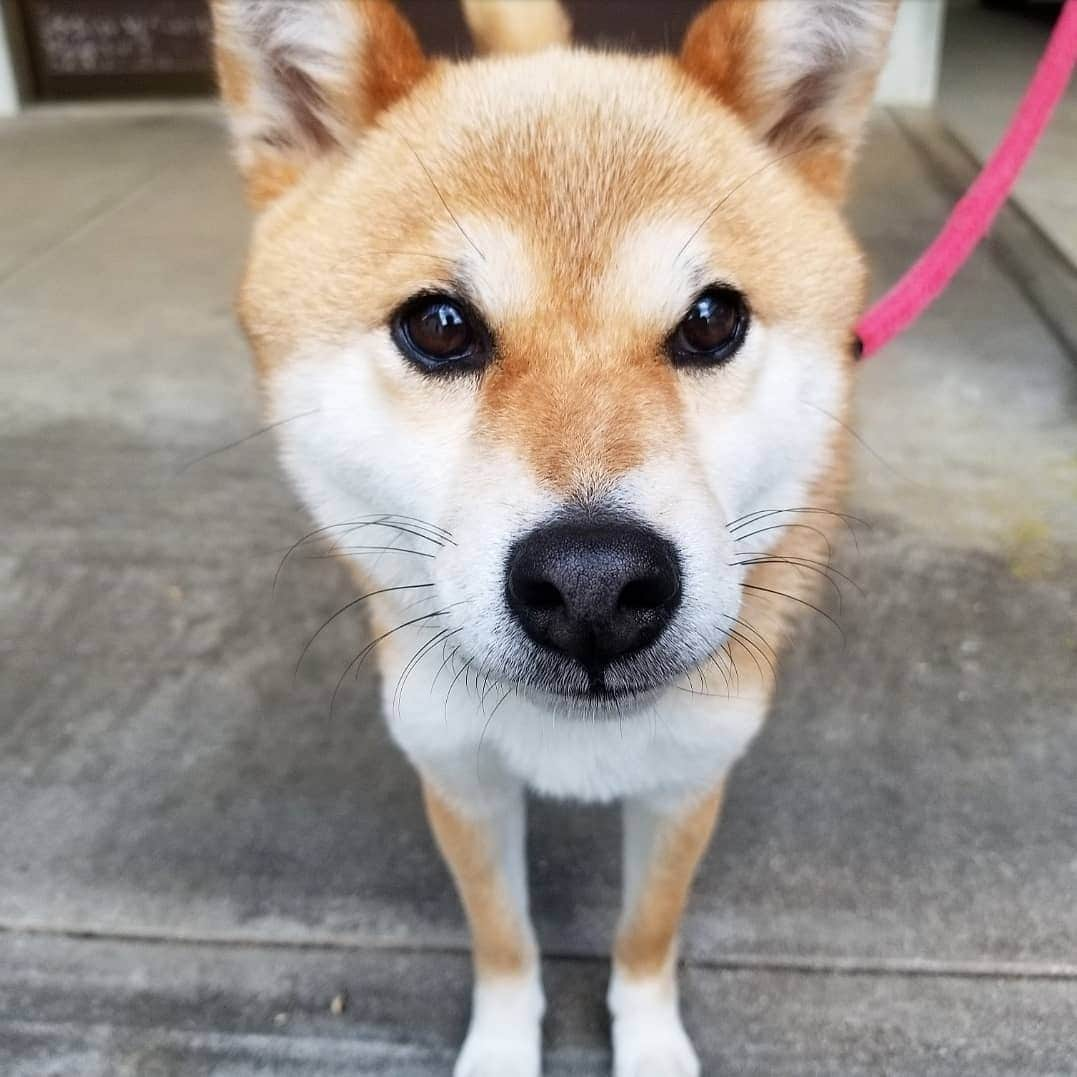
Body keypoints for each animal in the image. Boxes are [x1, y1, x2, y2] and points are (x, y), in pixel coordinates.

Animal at [210, 4, 900, 1072]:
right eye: (439, 325)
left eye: (712, 318)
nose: (593, 585)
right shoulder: (458, 777)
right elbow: (504, 943)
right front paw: (502, 1046)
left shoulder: (686, 780)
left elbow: (645, 938)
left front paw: (649, 1044)